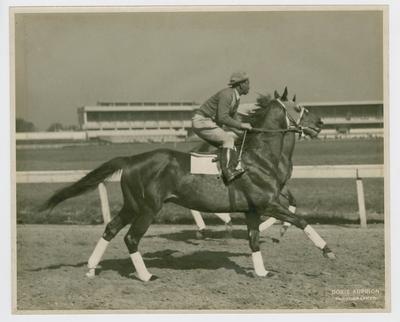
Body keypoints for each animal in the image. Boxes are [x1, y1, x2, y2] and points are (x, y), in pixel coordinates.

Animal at [40, 88, 334, 282]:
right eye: (300, 108)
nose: (321, 123)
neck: (261, 157)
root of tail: (131, 158)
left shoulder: (253, 209)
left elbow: (254, 240)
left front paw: (261, 271)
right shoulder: (268, 203)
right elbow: (301, 220)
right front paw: (327, 251)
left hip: (132, 204)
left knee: (111, 228)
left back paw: (91, 268)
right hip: (148, 207)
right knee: (131, 237)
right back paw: (146, 275)